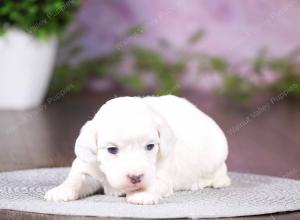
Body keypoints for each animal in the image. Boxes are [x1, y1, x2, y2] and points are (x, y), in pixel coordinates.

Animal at [44, 95, 231, 205]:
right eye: (112, 149)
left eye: (150, 146)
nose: (135, 177)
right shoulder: (87, 166)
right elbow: (76, 179)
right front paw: (61, 190)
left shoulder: (162, 174)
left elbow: (155, 183)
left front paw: (143, 194)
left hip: (218, 153)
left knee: (220, 170)